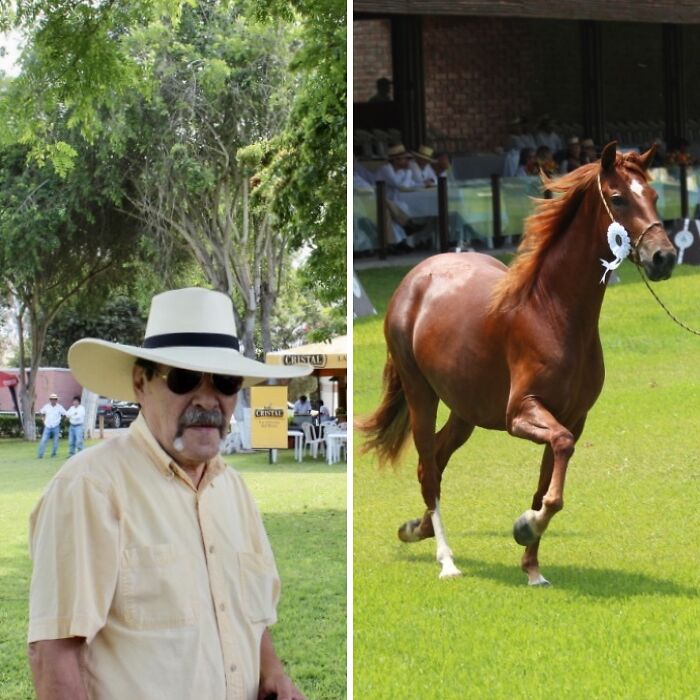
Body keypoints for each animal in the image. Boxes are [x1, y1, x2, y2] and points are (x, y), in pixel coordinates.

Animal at [360, 142, 677, 586]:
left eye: (653, 195)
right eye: (618, 199)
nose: (664, 257)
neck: (551, 312)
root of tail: (416, 278)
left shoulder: (573, 417)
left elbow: (547, 484)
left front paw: (532, 566)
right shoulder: (522, 413)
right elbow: (558, 459)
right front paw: (526, 524)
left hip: (465, 411)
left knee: (435, 460)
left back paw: (415, 529)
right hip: (420, 394)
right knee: (429, 468)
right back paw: (446, 559)